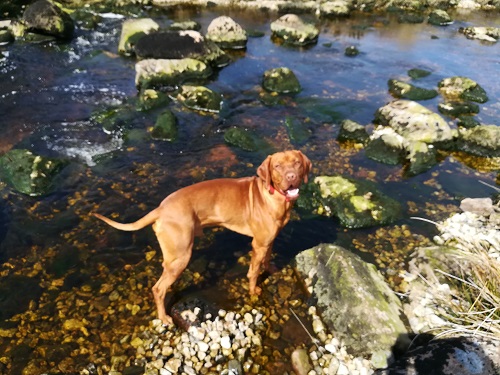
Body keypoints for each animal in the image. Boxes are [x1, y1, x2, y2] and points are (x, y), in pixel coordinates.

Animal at [92, 150, 310, 326]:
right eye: (277, 166)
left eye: (297, 163)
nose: (291, 176)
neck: (275, 197)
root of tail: (160, 209)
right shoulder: (258, 244)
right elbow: (253, 272)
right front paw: (254, 290)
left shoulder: (268, 241)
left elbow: (267, 259)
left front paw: (271, 269)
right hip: (182, 254)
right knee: (158, 289)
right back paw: (163, 317)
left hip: (174, 256)